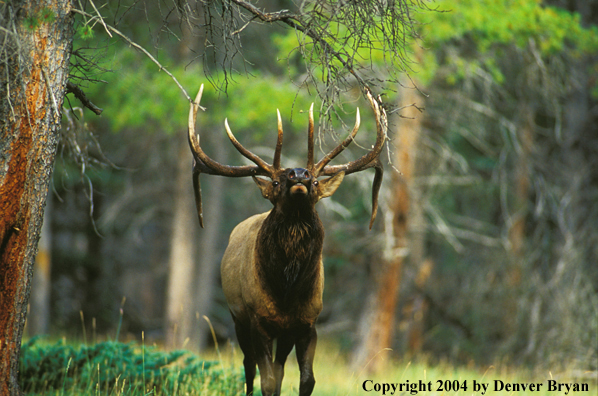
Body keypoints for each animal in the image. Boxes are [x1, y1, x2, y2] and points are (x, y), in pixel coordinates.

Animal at [190, 84, 392, 396]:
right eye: (276, 182)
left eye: (317, 182)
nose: (299, 174)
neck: (287, 291)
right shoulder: (258, 321)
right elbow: (266, 380)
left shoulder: (308, 323)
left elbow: (305, 379)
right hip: (237, 318)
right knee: (249, 367)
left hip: (282, 334)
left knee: (280, 367)